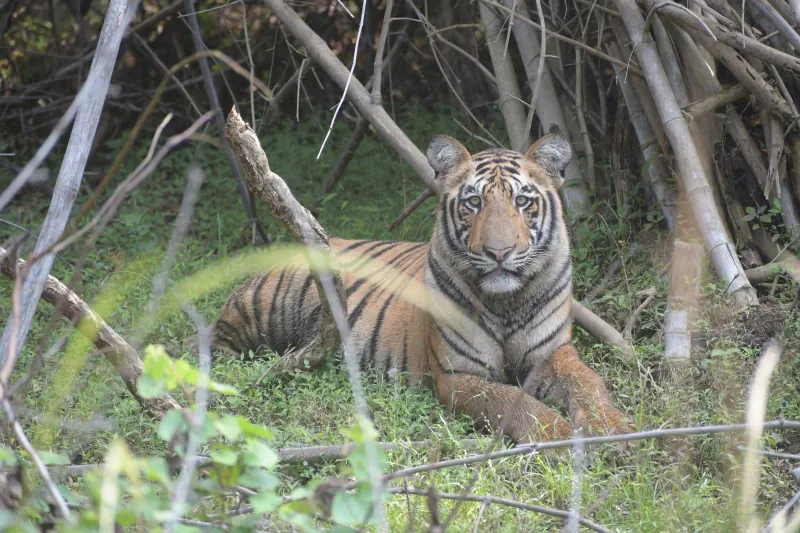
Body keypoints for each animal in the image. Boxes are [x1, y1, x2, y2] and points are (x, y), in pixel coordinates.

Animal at [212, 133, 631, 444]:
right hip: (258, 311)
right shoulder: (456, 375)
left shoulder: (554, 353)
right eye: (473, 203)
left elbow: (589, 383)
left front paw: (614, 431)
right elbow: (514, 400)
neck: (506, 302)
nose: (499, 252)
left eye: (523, 201)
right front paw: (560, 436)